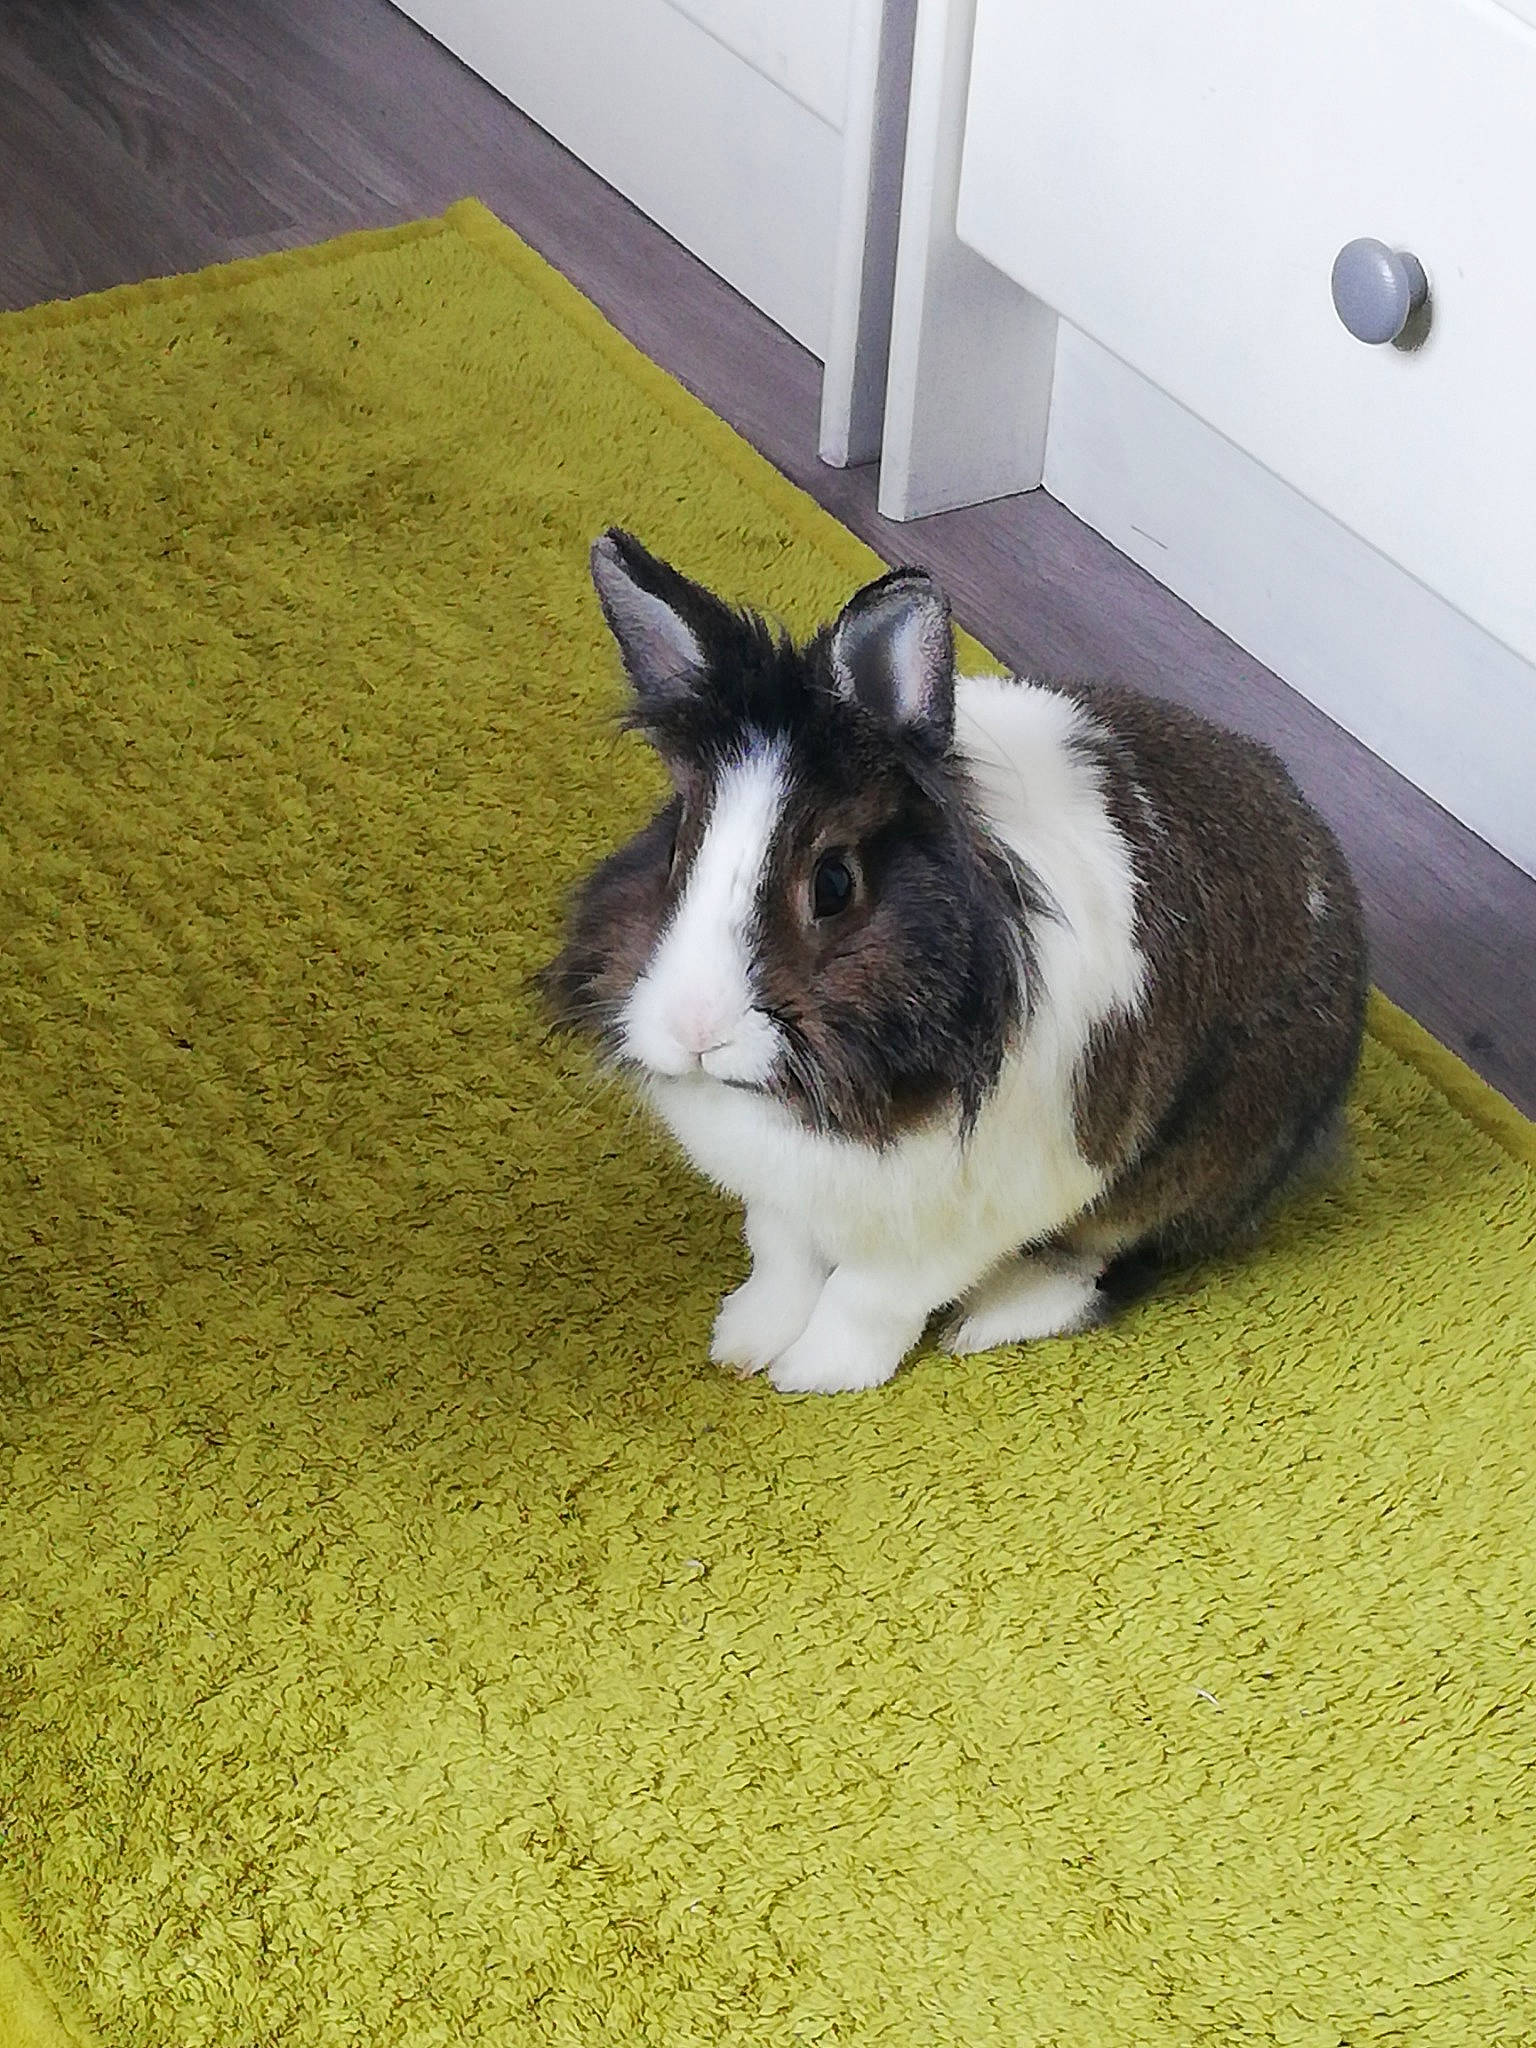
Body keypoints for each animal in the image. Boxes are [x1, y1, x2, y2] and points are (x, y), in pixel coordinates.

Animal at [540, 529, 1368, 1394]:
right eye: (676, 848)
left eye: (833, 883)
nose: (696, 1031)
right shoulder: (780, 1197)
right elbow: (783, 1260)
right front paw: (743, 1342)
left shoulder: (969, 1215)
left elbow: (868, 1296)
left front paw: (815, 1373)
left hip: (1196, 1162)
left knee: (1109, 1257)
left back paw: (998, 1314)